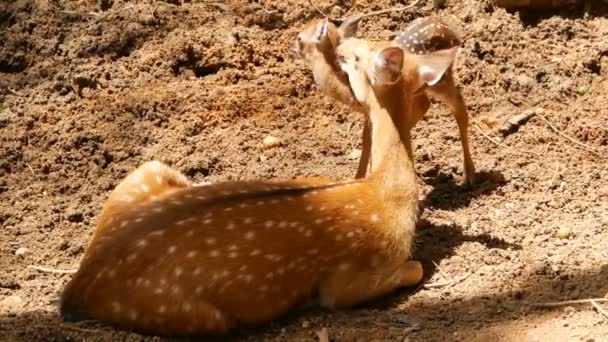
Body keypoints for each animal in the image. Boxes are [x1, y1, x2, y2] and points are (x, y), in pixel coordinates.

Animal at [58, 37, 460, 336]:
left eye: (361, 53)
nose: (342, 45)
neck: (386, 197)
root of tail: (78, 289)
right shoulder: (348, 280)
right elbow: (415, 268)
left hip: (146, 171)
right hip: (198, 316)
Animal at [292, 14, 478, 186]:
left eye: (299, 38)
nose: (290, 46)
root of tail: (451, 29)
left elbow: (368, 138)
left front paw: (360, 177)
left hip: (441, 79)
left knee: (459, 106)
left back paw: (469, 175)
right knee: (425, 104)